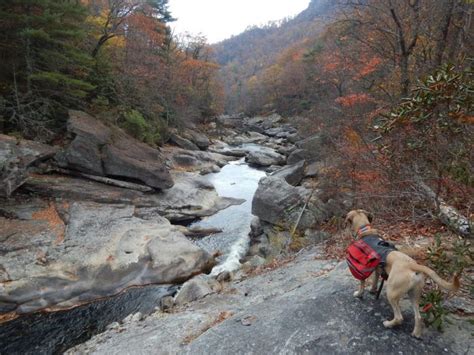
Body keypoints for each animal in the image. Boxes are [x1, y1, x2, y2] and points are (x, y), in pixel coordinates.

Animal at [344, 210, 460, 338]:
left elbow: (362, 284)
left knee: (399, 317)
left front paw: (359, 294)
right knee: (418, 317)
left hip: (391, 293)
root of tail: (412, 265)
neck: (365, 230)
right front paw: (373, 290)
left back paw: (388, 324)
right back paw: (416, 334)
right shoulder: (377, 270)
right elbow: (374, 281)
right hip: (414, 294)